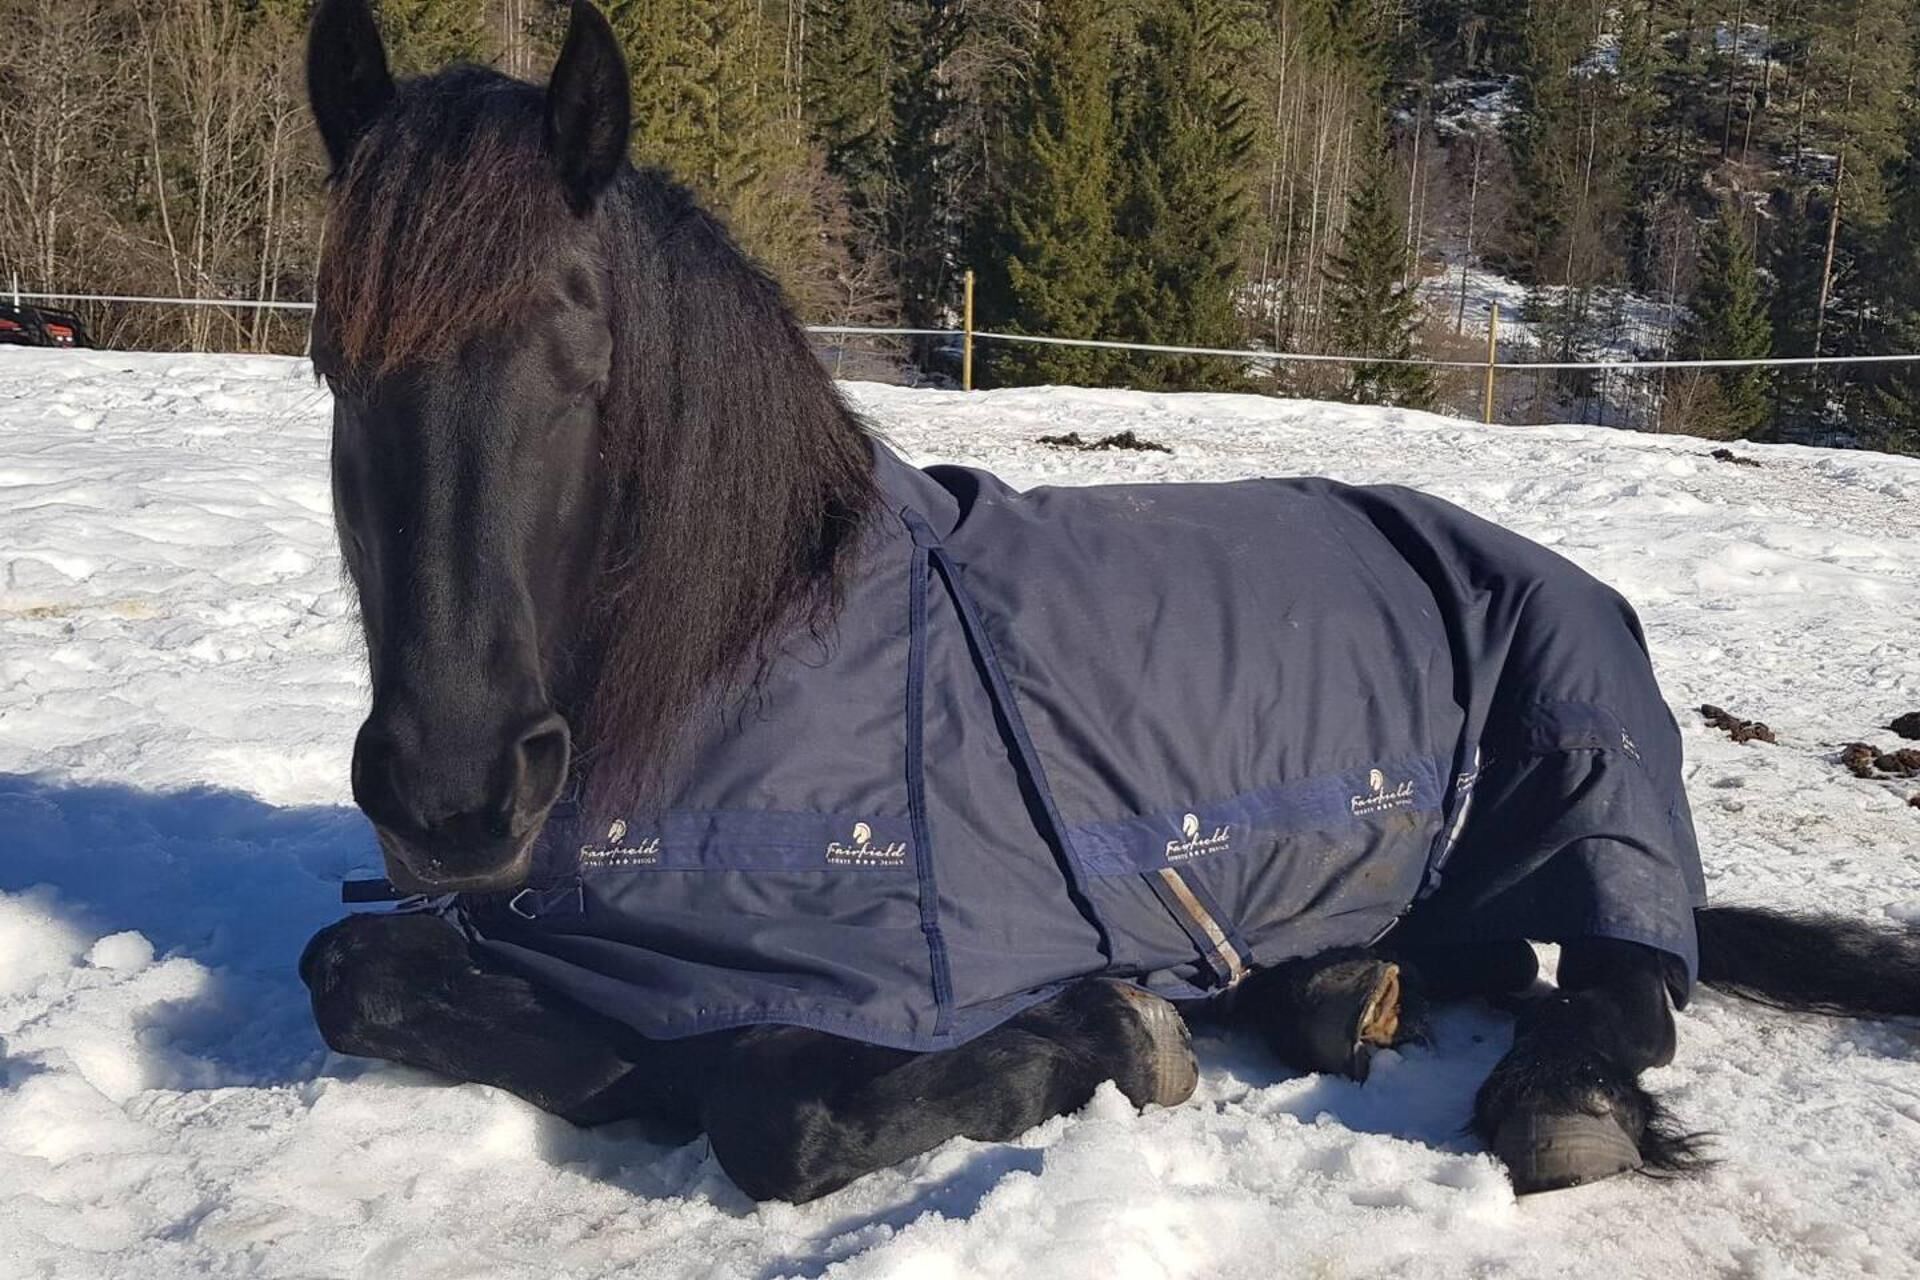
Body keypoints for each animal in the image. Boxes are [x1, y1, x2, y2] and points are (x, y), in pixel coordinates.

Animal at [298, 0, 1920, 1205]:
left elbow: (767, 1109)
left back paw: (1547, 1099)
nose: (451, 795)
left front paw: (1110, 1034)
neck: (753, 643)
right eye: (331, 359)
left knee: (1626, 978)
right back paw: (1338, 989)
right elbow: (354, 973)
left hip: (1590, 780)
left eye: (582, 359)